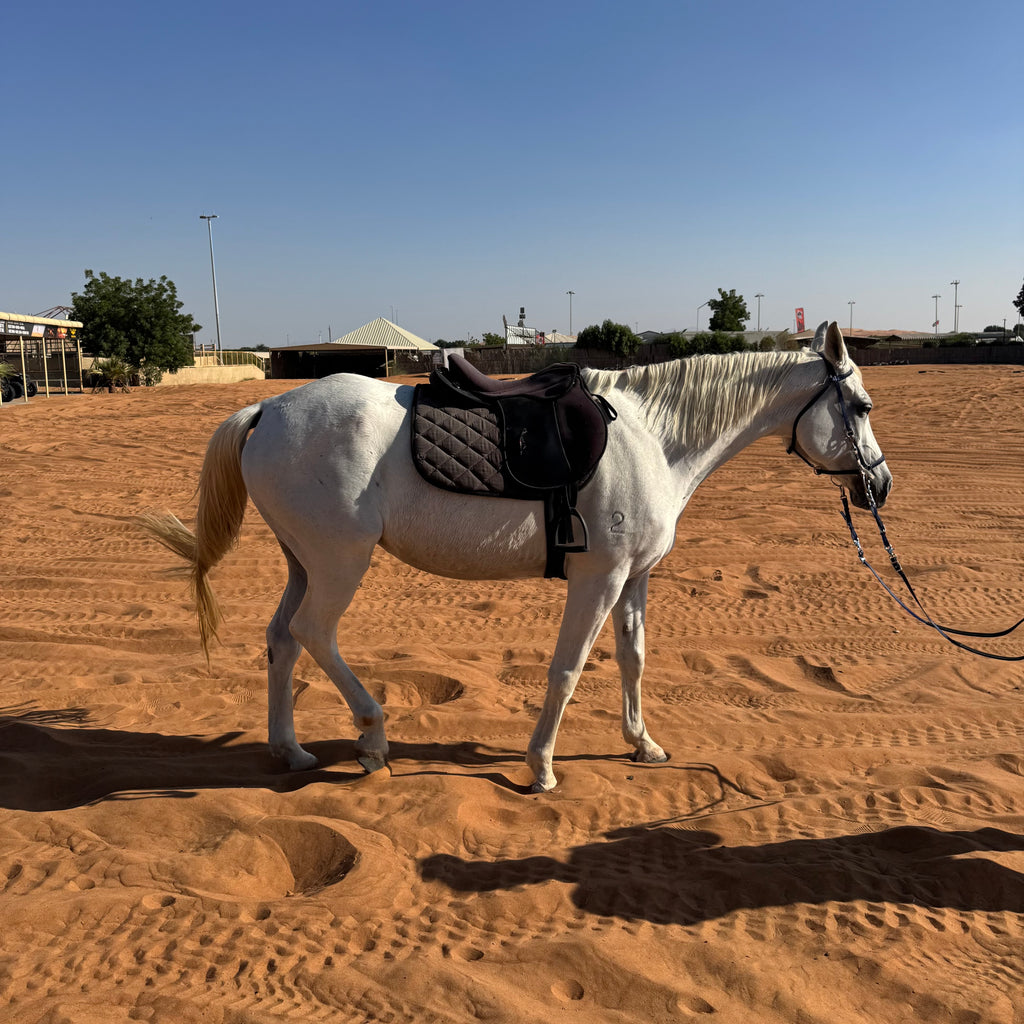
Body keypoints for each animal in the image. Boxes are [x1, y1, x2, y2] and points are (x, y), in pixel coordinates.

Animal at [143, 321, 892, 792]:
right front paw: (542, 767)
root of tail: (268, 409)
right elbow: (568, 669)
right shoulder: (599, 577)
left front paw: (642, 743)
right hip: (338, 563)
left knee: (282, 640)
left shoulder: (634, 577)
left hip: (303, 562)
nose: (878, 486)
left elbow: (632, 657)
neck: (652, 436)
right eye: (859, 405)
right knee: (314, 634)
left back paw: (291, 749)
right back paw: (373, 738)